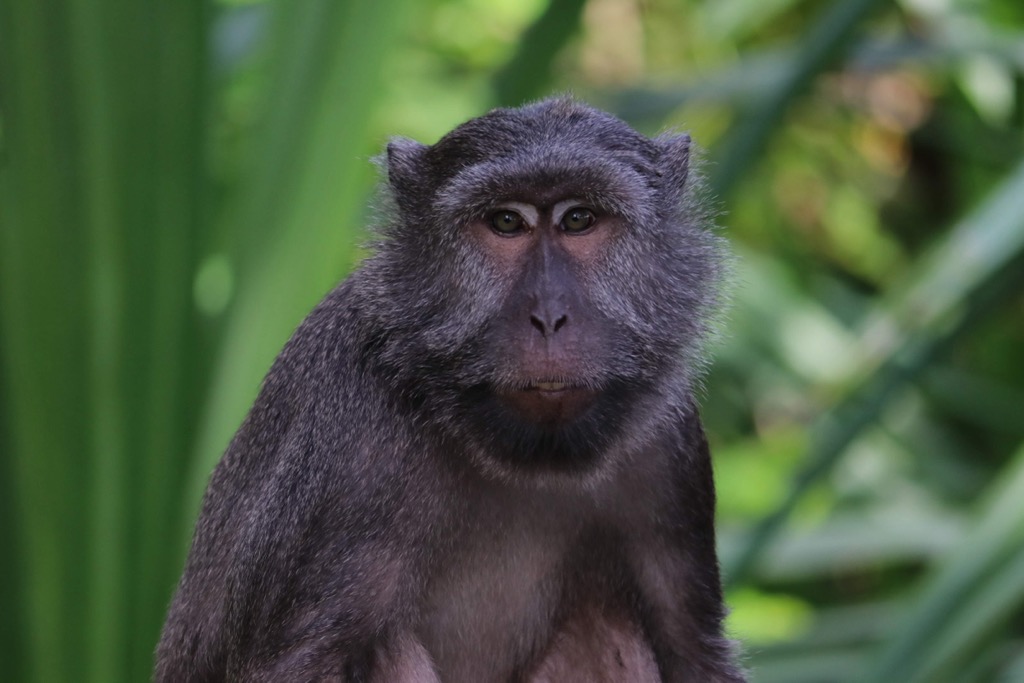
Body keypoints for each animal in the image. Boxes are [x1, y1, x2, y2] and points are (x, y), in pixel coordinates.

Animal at [153, 97, 745, 683]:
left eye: (579, 219)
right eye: (506, 221)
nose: (548, 316)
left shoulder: (669, 447)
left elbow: (693, 650)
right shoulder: (352, 448)